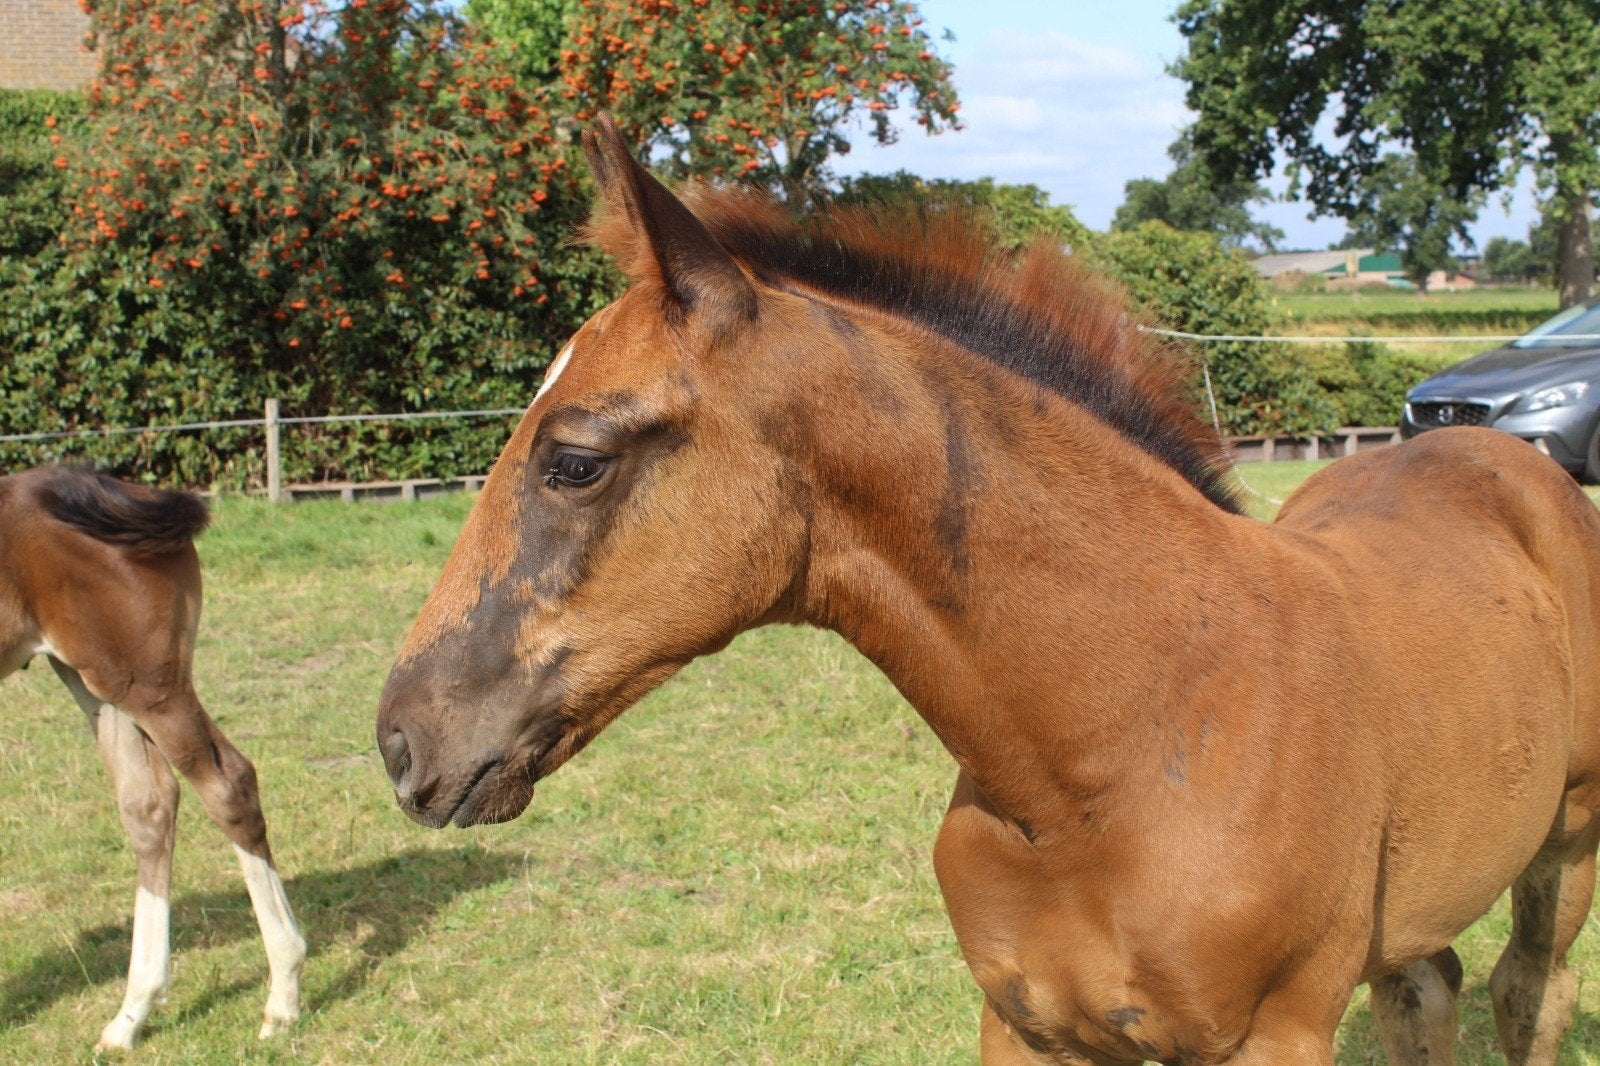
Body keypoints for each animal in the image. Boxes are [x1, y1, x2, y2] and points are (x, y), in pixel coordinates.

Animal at [0, 466, 304, 1050]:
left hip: (143, 682)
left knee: (227, 785)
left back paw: (283, 993)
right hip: (96, 681)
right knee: (149, 805)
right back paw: (130, 1015)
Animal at [375, 117, 1600, 1065]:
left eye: (574, 458)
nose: (399, 739)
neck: (1128, 744)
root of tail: (1488, 449)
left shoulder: (1275, 1033)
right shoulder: (1023, 1024)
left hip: (1567, 844)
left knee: (1524, 994)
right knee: (1428, 988)